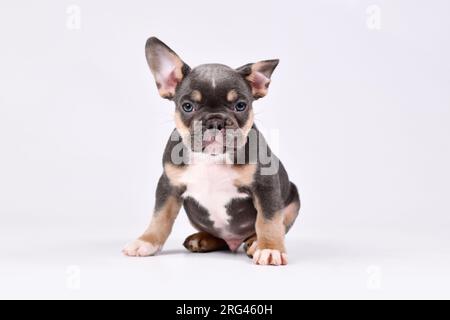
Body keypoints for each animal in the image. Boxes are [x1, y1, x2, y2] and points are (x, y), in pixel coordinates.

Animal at [123, 37, 300, 266]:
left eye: (240, 105)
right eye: (187, 106)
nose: (215, 121)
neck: (212, 158)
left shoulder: (265, 185)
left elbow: (268, 220)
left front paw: (270, 248)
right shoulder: (168, 185)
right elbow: (160, 216)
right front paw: (146, 241)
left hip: (294, 199)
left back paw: (254, 242)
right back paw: (202, 239)